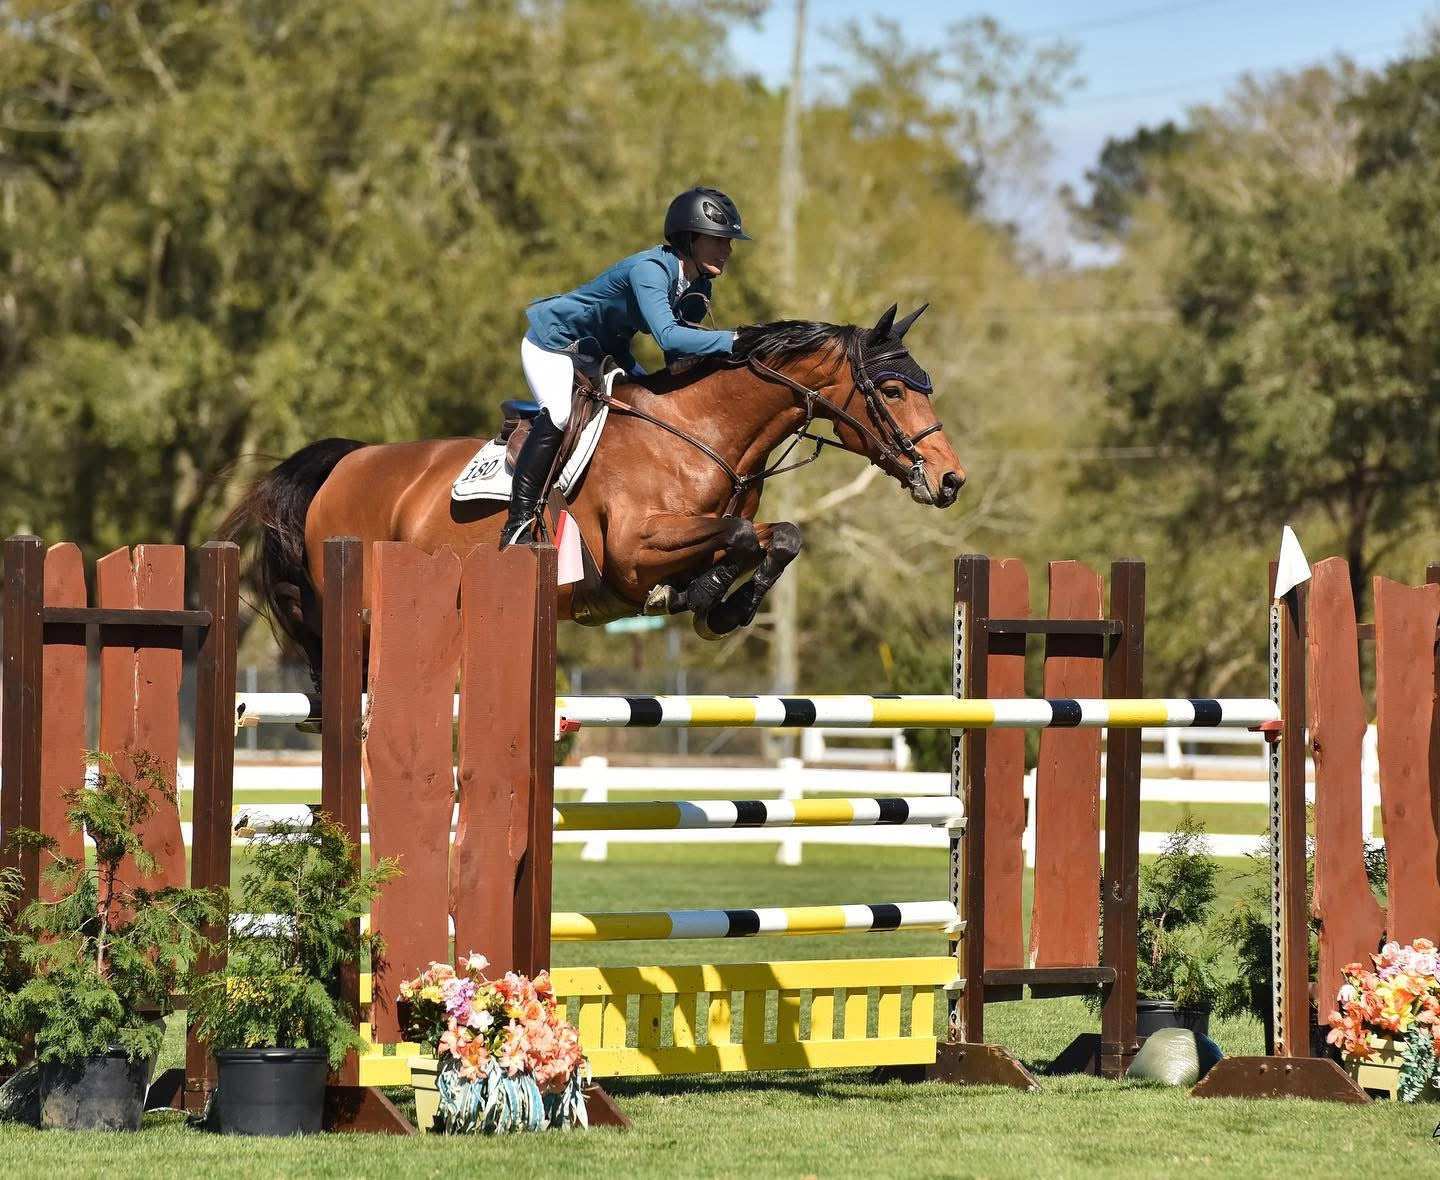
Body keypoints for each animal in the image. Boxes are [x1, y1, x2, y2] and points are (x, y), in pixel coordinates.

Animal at [220, 304, 965, 684]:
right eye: (892, 388)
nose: (950, 479)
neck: (700, 433)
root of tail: (345, 462)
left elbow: (779, 536)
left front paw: (723, 606)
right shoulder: (635, 551)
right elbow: (736, 538)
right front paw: (699, 597)